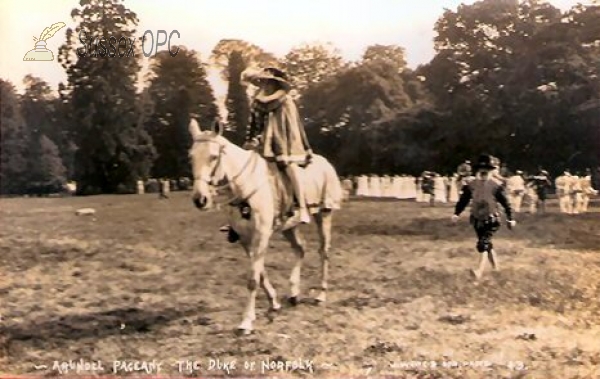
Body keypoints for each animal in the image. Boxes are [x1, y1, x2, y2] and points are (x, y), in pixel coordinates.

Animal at [188, 119, 342, 336]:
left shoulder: (261, 235)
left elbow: (253, 279)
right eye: (191, 157)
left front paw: (246, 321)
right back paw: (294, 292)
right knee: (300, 249)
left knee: (323, 252)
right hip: (288, 226)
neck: (244, 186)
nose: (200, 200)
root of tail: (325, 163)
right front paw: (274, 302)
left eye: (213, 156)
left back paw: (321, 294)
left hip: (324, 214)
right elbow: (260, 274)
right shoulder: (245, 239)